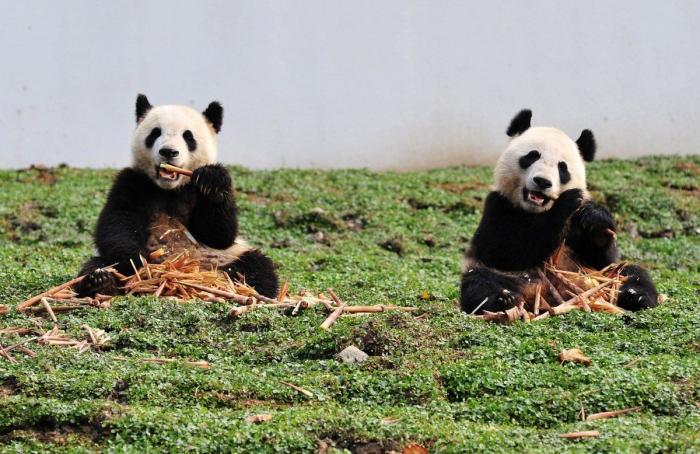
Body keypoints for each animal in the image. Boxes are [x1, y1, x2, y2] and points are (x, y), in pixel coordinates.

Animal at [74, 94, 279, 298]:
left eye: (188, 136)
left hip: (226, 256)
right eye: (155, 133)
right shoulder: (133, 182)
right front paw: (137, 265)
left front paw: (212, 181)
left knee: (258, 267)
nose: (168, 151)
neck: (170, 189)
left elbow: (218, 235)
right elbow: (118, 224)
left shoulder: (194, 191)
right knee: (96, 264)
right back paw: (101, 282)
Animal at [460, 109, 658, 314]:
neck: (537, 211)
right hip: (505, 275)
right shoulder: (499, 206)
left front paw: (596, 219)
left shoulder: (580, 232)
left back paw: (636, 296)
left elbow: (602, 257)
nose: (542, 182)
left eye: (562, 168)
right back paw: (503, 299)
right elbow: (503, 250)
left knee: (631, 272)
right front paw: (567, 201)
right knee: (480, 280)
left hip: (597, 275)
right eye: (532, 156)